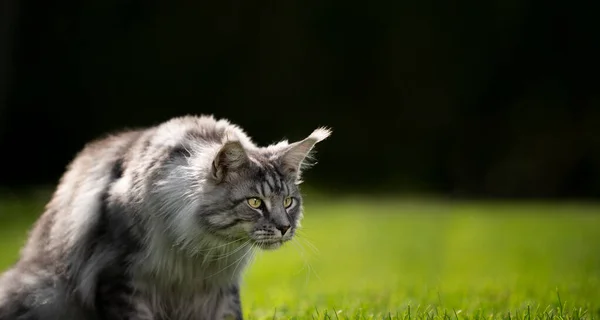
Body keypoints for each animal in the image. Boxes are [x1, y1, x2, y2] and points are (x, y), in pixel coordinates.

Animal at [0, 115, 330, 320]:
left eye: (288, 201)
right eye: (255, 202)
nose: (285, 228)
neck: (202, 250)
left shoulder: (222, 289)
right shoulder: (121, 278)